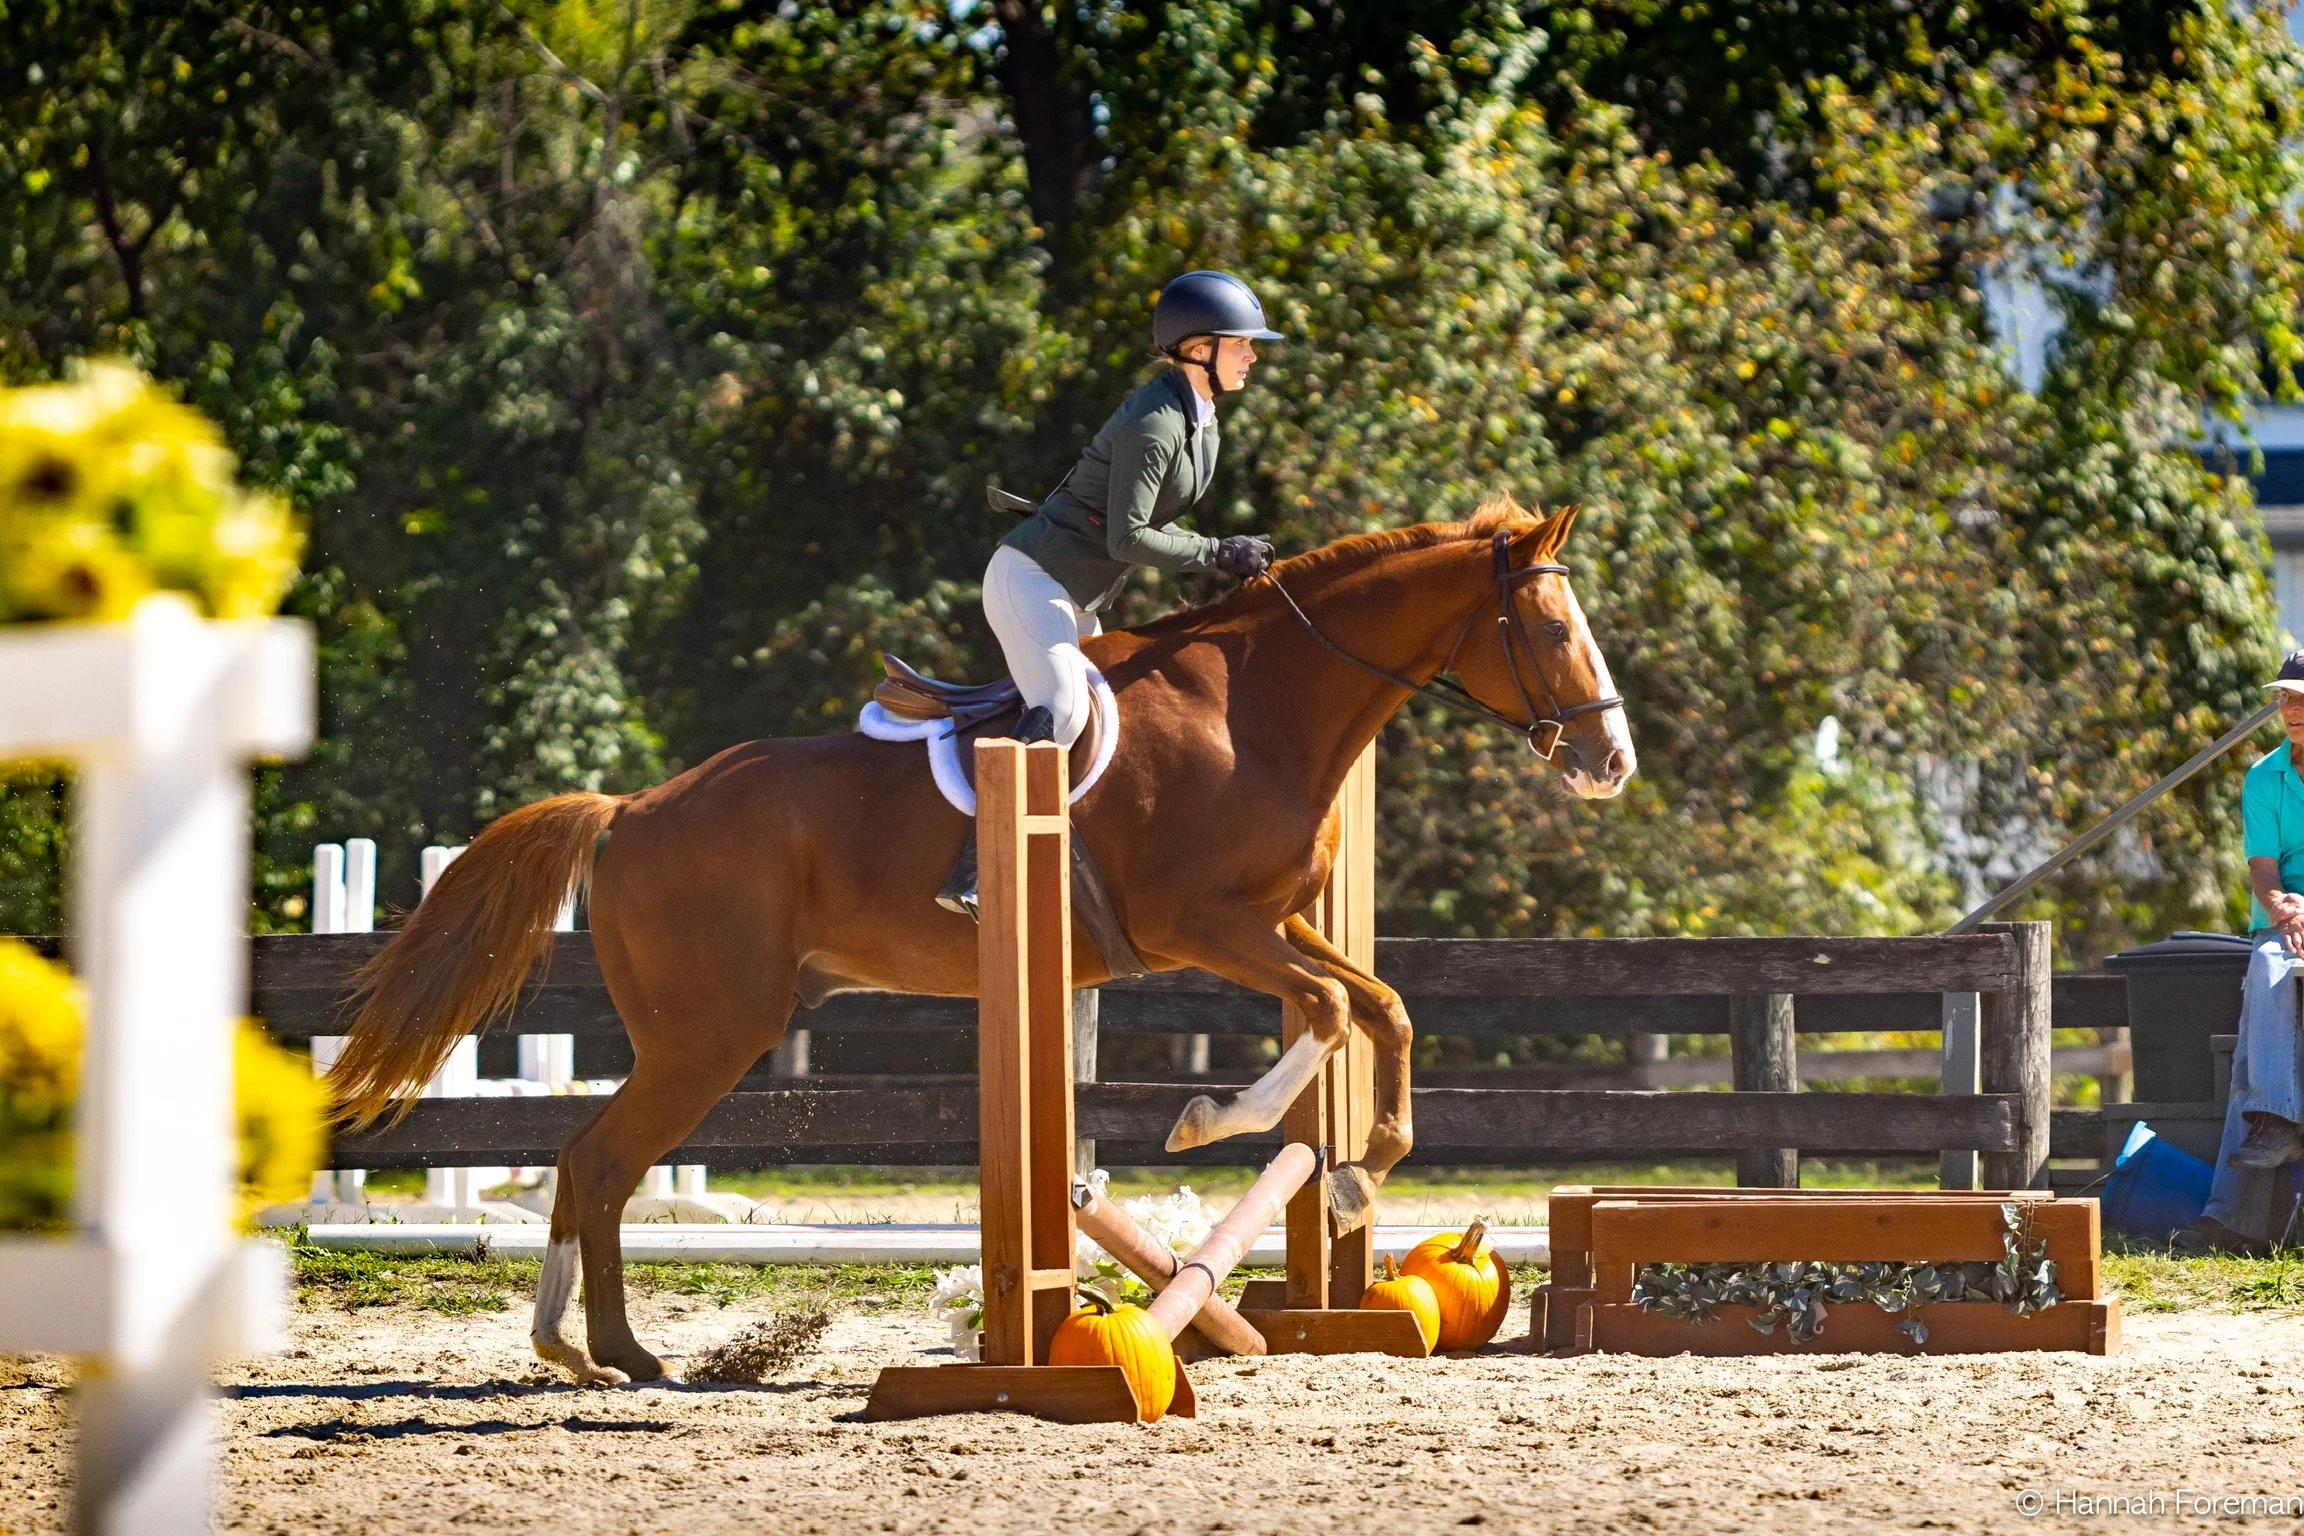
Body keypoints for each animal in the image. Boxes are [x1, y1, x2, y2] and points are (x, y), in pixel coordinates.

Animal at [328, 494, 1635, 1383]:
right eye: (1548, 627)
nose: (1610, 761)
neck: (1254, 706)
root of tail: (631, 808)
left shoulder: (1273, 920)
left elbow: (1381, 1006)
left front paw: (1360, 1170)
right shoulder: (1202, 925)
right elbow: (1324, 1012)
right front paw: (1215, 1123)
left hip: (702, 1034)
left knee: (592, 1164)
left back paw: (588, 1347)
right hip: (710, 1035)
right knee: (599, 1162)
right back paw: (602, 1351)